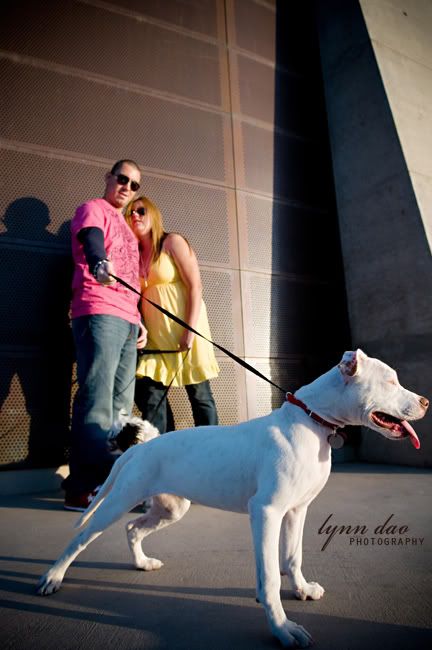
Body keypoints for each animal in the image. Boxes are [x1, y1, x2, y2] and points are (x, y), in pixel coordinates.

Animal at [38, 352, 428, 644]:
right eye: (390, 381)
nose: (425, 401)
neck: (311, 422)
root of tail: (143, 446)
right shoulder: (266, 512)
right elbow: (270, 576)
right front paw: (283, 629)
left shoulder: (296, 511)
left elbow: (293, 557)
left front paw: (302, 589)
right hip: (117, 502)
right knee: (80, 539)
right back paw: (53, 577)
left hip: (170, 508)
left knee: (134, 528)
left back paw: (142, 563)